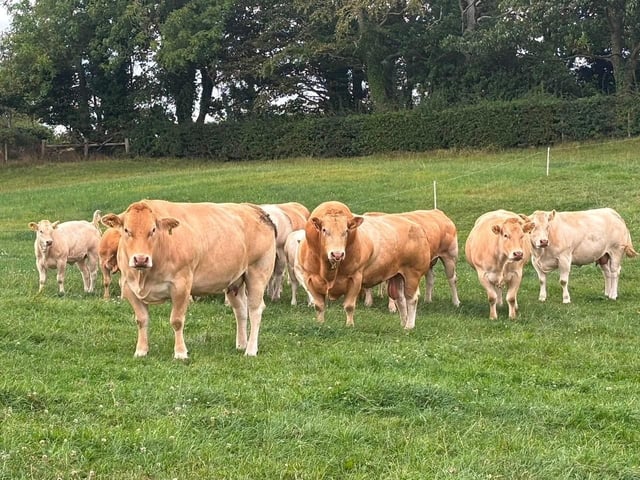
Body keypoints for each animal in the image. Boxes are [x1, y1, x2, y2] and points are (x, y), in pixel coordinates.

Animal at [101, 199, 277, 359]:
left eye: (153, 230)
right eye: (126, 230)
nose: (141, 259)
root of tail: (253, 208)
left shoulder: (181, 286)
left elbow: (177, 321)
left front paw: (180, 352)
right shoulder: (128, 287)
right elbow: (141, 320)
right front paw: (141, 351)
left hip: (257, 273)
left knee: (255, 310)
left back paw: (251, 350)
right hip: (235, 281)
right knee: (240, 310)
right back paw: (241, 344)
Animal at [297, 201, 432, 329]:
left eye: (346, 231)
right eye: (324, 230)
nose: (337, 254)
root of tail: (415, 225)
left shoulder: (355, 278)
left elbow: (349, 306)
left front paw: (349, 325)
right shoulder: (309, 278)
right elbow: (319, 306)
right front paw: (320, 323)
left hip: (412, 273)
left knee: (411, 299)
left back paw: (409, 326)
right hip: (397, 276)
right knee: (400, 299)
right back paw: (403, 324)